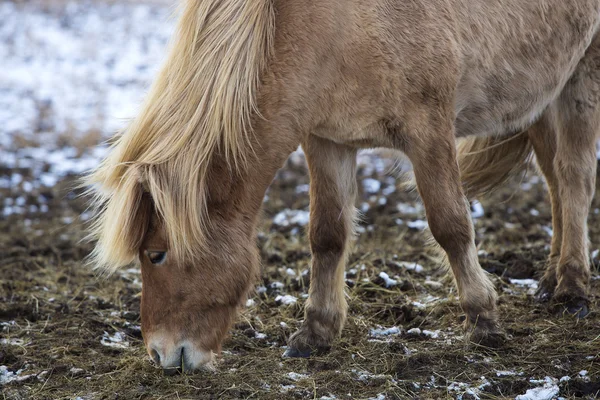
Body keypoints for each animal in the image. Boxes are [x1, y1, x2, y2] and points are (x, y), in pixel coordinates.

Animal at [86, 0, 600, 374]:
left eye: (156, 254)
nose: (161, 355)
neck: (332, 26)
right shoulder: (327, 141)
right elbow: (327, 236)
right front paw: (315, 333)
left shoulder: (430, 133)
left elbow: (451, 226)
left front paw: (484, 320)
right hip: (544, 89)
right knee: (554, 180)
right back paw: (551, 278)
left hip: (582, 73)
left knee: (573, 176)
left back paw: (573, 288)